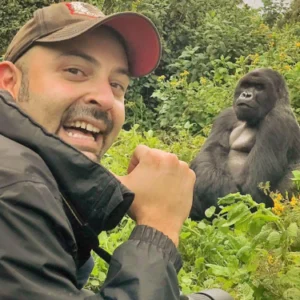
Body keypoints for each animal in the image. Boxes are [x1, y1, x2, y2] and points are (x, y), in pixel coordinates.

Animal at [191, 68, 300, 220]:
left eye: (259, 87)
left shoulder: (278, 121)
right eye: (246, 85)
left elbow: (251, 187)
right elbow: (209, 154)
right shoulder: (226, 116)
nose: (246, 94)